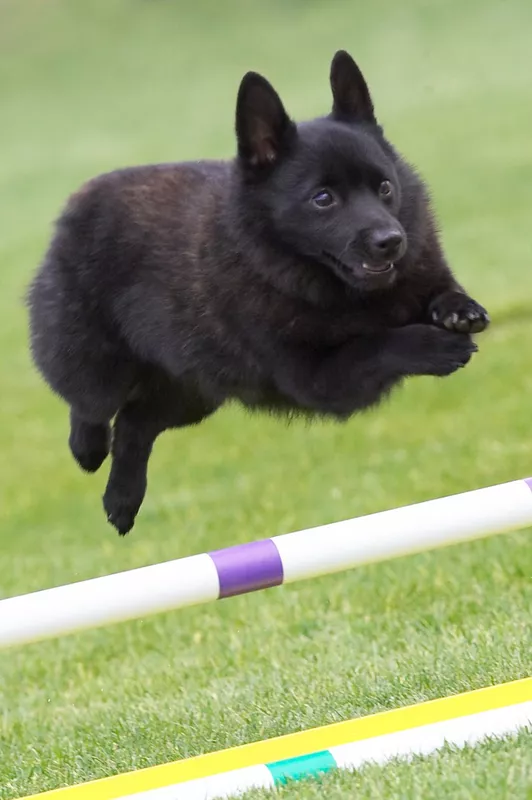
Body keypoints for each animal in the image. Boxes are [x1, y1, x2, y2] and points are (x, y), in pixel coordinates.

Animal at [27, 53, 488, 536]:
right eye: (323, 198)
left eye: (384, 187)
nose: (391, 241)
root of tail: (78, 201)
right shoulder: (319, 379)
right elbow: (379, 342)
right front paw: (435, 345)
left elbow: (438, 292)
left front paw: (459, 310)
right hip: (100, 365)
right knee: (88, 402)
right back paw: (87, 449)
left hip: (195, 391)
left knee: (135, 423)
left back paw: (122, 500)